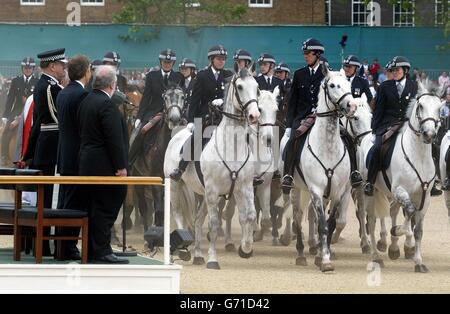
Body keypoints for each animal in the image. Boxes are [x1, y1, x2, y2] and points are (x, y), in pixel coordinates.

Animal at [282, 68, 356, 272]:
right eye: (332, 85)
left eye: (348, 84)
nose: (352, 106)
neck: (328, 146)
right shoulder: (315, 189)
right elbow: (322, 224)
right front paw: (325, 261)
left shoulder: (337, 191)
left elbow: (330, 224)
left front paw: (324, 254)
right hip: (296, 189)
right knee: (297, 217)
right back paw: (300, 254)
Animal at [360, 78, 444, 272]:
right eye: (420, 106)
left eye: (439, 108)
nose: (429, 134)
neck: (418, 155)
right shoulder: (400, 190)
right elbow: (410, 214)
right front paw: (398, 232)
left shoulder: (424, 197)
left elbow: (418, 229)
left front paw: (418, 261)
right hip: (370, 191)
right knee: (371, 220)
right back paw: (376, 256)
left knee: (392, 211)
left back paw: (392, 248)